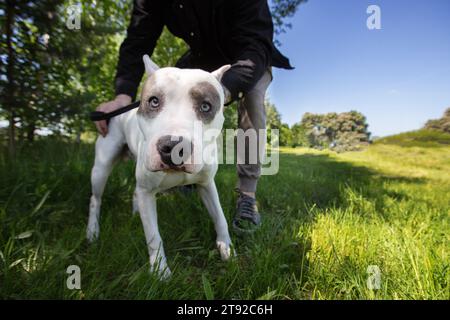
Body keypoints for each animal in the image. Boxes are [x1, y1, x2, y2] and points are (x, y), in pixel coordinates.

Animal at [89, 56, 234, 278]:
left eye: (206, 106)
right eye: (154, 101)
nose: (173, 146)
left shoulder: (207, 184)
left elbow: (220, 216)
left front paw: (226, 246)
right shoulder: (147, 192)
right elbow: (153, 236)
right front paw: (160, 272)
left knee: (134, 193)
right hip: (102, 167)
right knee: (95, 199)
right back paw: (92, 231)